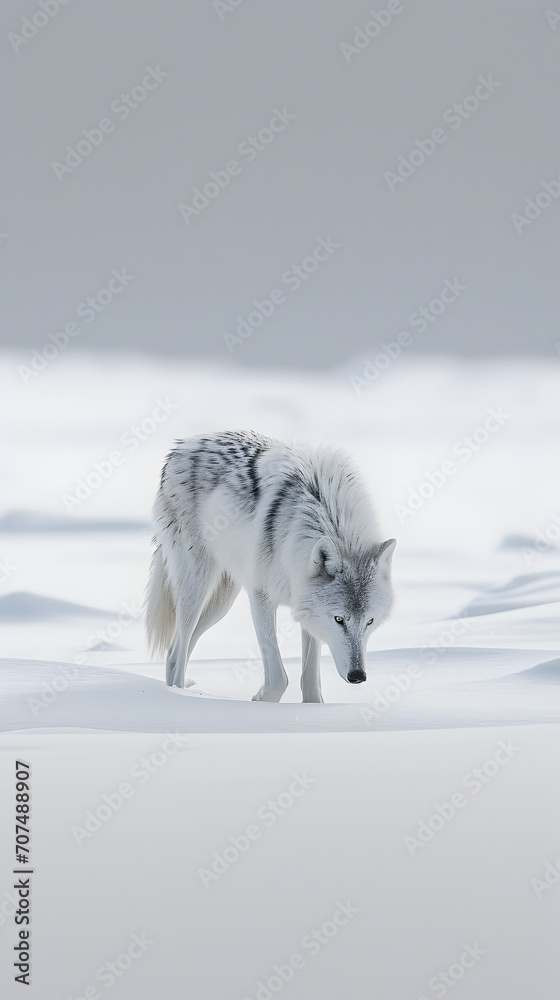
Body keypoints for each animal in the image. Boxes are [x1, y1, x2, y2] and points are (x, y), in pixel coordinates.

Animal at [145, 430, 396, 703]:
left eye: (370, 621)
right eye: (339, 619)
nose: (358, 676)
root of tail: (184, 444)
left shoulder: (307, 610)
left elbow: (310, 683)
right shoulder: (261, 596)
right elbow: (278, 678)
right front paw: (262, 702)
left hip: (220, 605)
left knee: (175, 650)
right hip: (197, 590)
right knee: (176, 654)